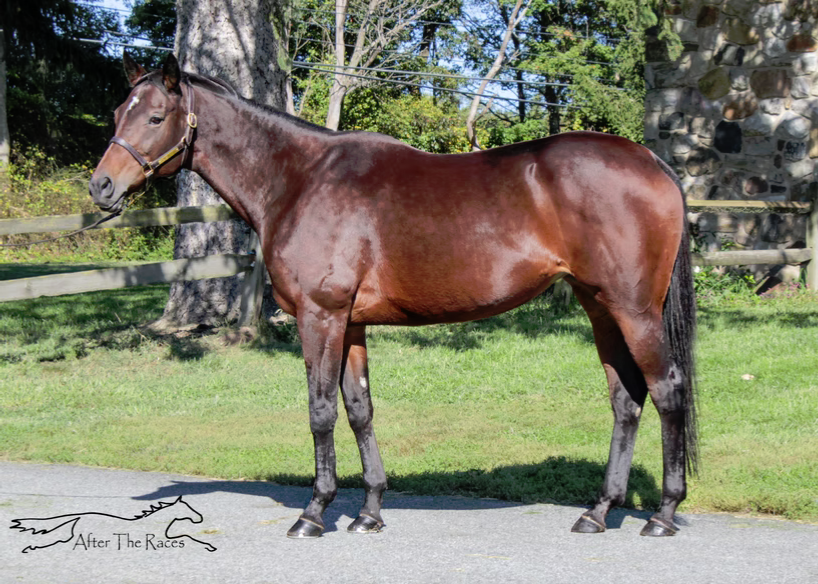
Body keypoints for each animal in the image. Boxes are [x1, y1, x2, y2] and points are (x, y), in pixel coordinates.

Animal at [89, 52, 697, 539]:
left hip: (635, 311)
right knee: (626, 400)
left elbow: (320, 411)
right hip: (601, 309)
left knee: (667, 390)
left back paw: (663, 514)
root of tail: (652, 163)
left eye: (155, 117)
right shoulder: (351, 323)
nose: (101, 187)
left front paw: (314, 513)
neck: (300, 179)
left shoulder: (320, 317)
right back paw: (598, 511)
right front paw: (369, 512)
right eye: (118, 114)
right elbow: (359, 410)